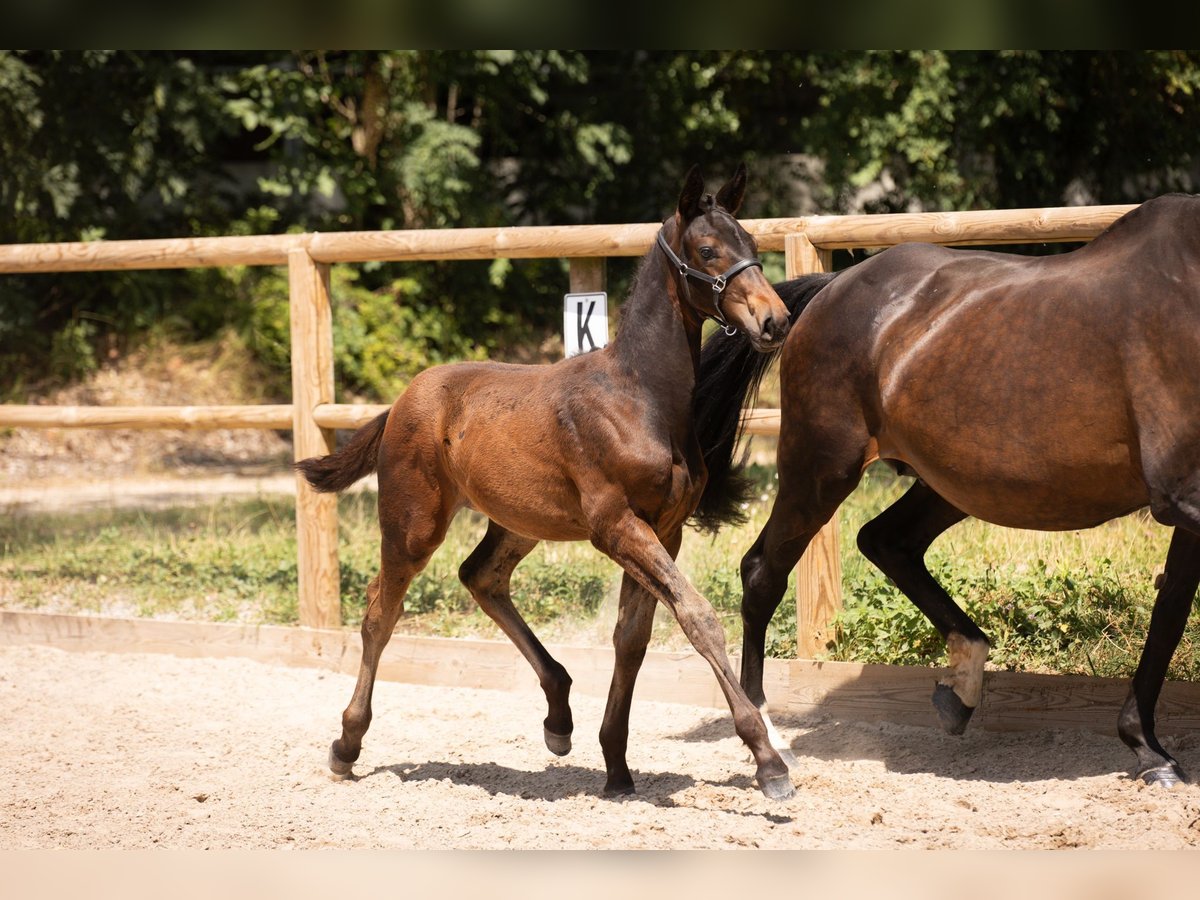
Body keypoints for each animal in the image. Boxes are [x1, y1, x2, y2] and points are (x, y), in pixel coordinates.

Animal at [292, 165, 796, 801]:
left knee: (480, 576)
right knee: (381, 610)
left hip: (520, 521)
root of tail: (404, 398)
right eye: (708, 251)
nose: (774, 319)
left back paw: (559, 714)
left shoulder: (665, 530)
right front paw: (769, 762)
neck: (641, 398)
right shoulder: (617, 527)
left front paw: (617, 768)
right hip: (413, 523)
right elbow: (698, 617)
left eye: (751, 243)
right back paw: (346, 745)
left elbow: (632, 638)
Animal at [696, 195, 1200, 787]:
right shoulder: (1180, 494)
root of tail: (830, 289)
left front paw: (1150, 751)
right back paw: (770, 744)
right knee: (764, 572)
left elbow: (1170, 612)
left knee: (886, 540)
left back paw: (960, 688)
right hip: (820, 469)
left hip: (955, 483)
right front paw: (1149, 750)